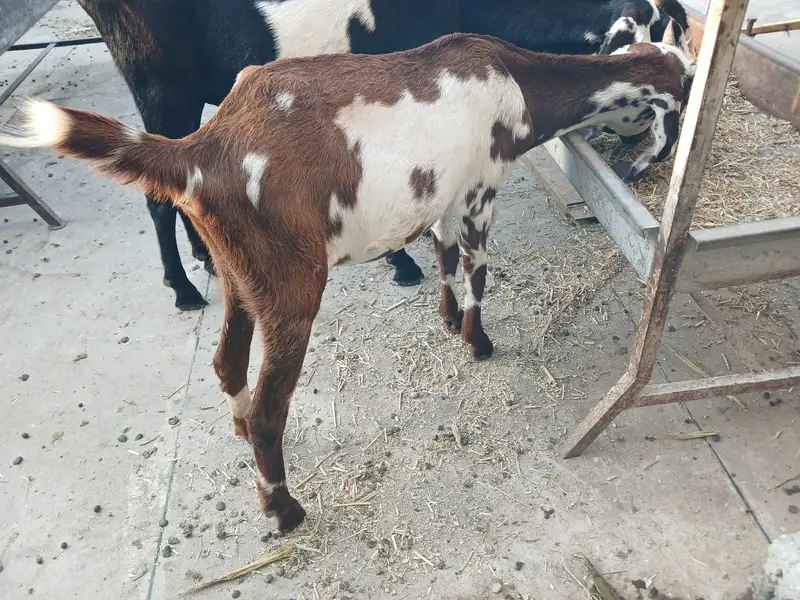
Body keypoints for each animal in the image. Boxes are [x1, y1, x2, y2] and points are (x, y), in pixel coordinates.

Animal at [1, 31, 695, 532]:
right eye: (678, 92)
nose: (642, 159)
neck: (515, 80)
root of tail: (200, 151)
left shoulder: (441, 195)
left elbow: (444, 256)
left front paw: (448, 321)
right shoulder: (478, 190)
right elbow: (476, 267)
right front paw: (478, 341)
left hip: (239, 275)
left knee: (228, 365)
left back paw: (240, 434)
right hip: (290, 286)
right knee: (270, 410)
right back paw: (284, 511)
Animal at [76, 0, 689, 311]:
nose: (650, 156)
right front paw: (403, 263)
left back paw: (204, 260)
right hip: (161, 87)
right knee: (157, 195)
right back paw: (182, 290)